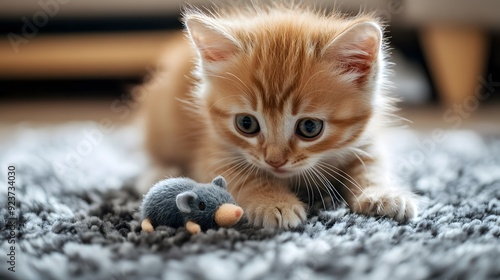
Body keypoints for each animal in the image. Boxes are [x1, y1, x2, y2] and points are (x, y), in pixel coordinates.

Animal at [143, 3, 420, 230]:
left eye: (310, 127)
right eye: (246, 124)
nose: (274, 161)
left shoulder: (366, 138)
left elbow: (372, 165)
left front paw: (383, 194)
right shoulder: (212, 151)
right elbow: (245, 177)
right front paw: (274, 202)